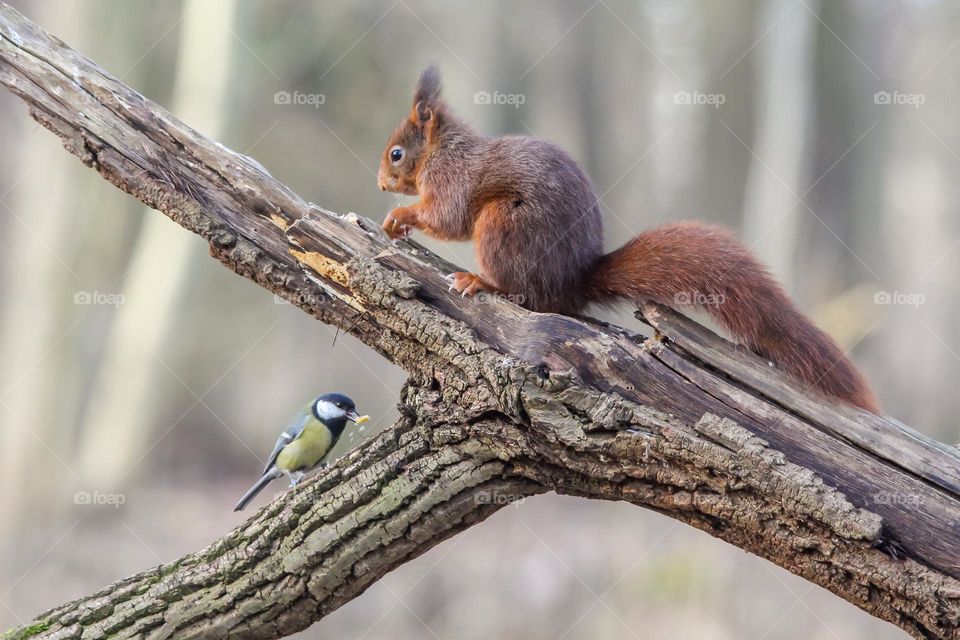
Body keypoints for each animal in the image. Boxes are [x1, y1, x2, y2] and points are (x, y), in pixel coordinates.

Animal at [376, 66, 876, 416]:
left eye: (397, 153)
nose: (380, 184)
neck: (443, 150)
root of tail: (572, 283)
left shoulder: (452, 181)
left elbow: (447, 218)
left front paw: (399, 216)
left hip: (503, 226)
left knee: (525, 294)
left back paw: (480, 281)